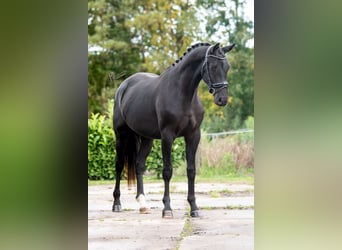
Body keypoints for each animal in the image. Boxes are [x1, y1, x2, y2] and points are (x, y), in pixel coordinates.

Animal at [112, 41, 235, 217]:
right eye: (213, 66)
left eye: (227, 67)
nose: (222, 99)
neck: (183, 93)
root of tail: (123, 86)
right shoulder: (167, 136)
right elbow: (167, 171)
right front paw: (167, 208)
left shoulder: (193, 136)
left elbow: (191, 171)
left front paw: (194, 208)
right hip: (121, 135)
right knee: (119, 165)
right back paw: (117, 203)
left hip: (147, 139)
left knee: (139, 165)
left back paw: (143, 204)